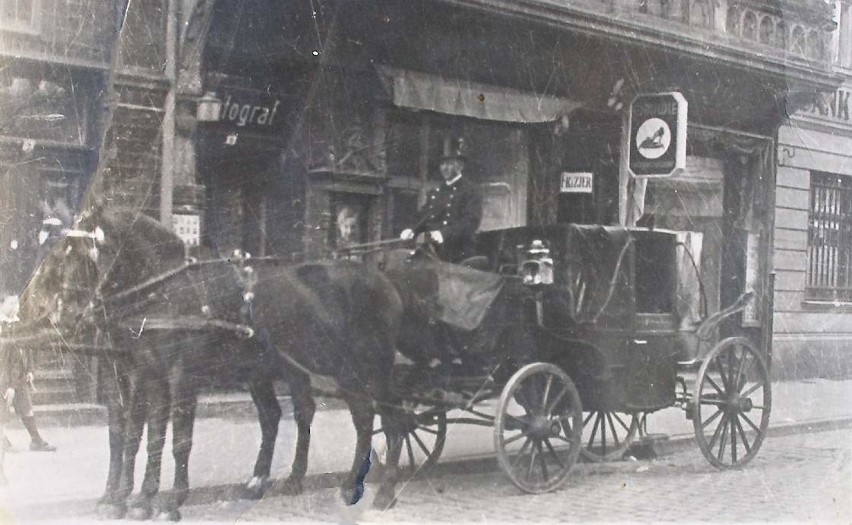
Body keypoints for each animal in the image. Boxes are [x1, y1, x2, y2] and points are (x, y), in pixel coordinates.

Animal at [20, 207, 410, 516]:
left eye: (80, 254)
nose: (62, 314)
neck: (164, 292)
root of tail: (384, 282)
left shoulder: (179, 377)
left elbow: (177, 439)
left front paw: (168, 500)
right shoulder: (145, 374)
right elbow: (140, 435)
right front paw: (133, 499)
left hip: (361, 370)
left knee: (381, 419)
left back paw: (374, 487)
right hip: (282, 370)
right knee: (290, 415)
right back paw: (275, 480)